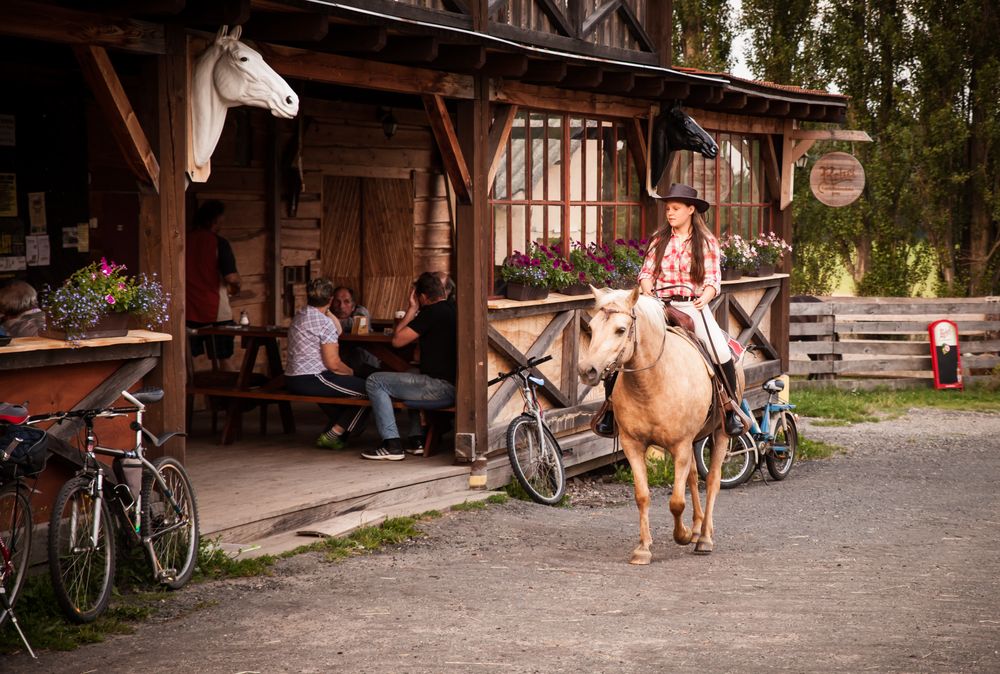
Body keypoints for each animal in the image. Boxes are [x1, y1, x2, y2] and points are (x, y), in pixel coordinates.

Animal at [580, 286, 744, 564]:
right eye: (591, 328)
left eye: (621, 329)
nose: (587, 370)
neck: (653, 381)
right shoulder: (633, 445)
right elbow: (642, 495)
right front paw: (643, 548)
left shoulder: (680, 445)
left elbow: (677, 501)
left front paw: (683, 535)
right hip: (694, 439)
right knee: (692, 477)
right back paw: (697, 527)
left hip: (720, 433)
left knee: (712, 480)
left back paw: (704, 537)